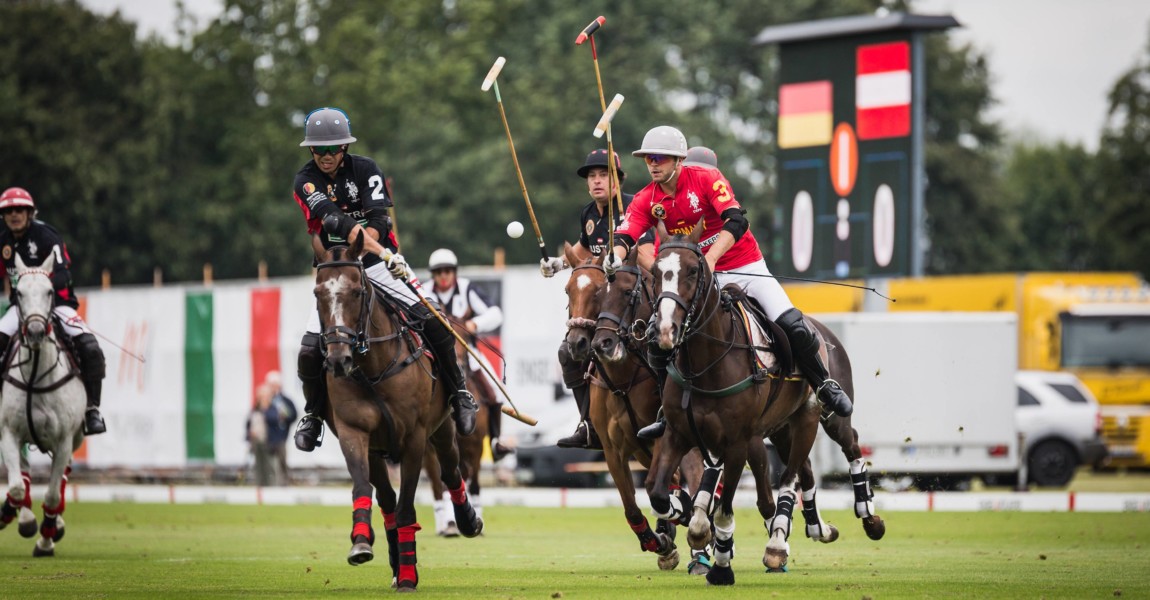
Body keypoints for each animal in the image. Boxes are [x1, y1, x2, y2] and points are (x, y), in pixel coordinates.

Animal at [0, 249, 85, 554]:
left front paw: (47, 537)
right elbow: (16, 486)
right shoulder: (9, 432)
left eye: (50, 291)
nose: (36, 332)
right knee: (24, 473)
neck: (36, 375)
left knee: (61, 479)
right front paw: (16, 516)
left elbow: (50, 496)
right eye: (19, 293)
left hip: (77, 436)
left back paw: (53, 526)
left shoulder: (63, 440)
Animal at [312, 234, 483, 588]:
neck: (373, 366)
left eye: (357, 291)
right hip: (378, 450)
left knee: (451, 472)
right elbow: (364, 488)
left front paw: (407, 576)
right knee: (387, 499)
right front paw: (361, 543)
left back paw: (468, 521)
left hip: (442, 429)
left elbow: (407, 507)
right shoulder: (353, 433)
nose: (338, 360)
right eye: (317, 293)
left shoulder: (414, 438)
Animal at [561, 241, 703, 570]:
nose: (579, 343)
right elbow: (631, 505)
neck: (624, 380)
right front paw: (659, 542)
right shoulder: (614, 450)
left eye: (597, 292)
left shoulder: (669, 438)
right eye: (567, 291)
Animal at [644, 221, 832, 581]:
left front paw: (720, 568)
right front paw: (687, 518)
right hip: (770, 431)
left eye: (693, 270)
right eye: (655, 272)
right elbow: (659, 495)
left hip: (805, 420)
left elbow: (724, 511)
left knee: (789, 479)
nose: (665, 330)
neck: (703, 365)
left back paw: (777, 545)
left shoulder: (736, 442)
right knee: (769, 490)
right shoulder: (678, 433)